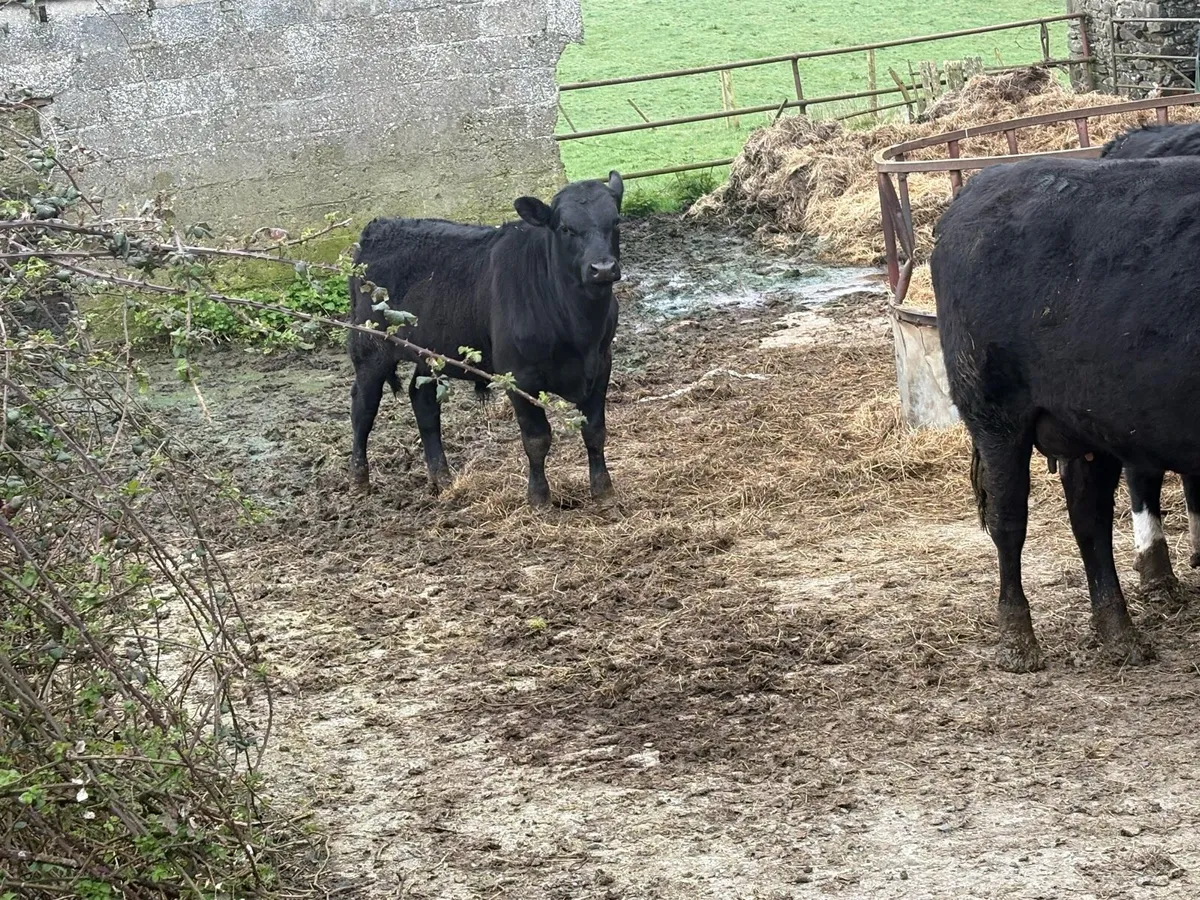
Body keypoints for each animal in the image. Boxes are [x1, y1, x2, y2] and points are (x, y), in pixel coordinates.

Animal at [347, 172, 624, 508]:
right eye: (566, 228)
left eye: (616, 221)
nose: (603, 269)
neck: (578, 327)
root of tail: (379, 225)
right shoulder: (519, 375)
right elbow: (537, 439)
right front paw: (539, 498)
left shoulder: (601, 364)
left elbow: (594, 431)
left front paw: (603, 490)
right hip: (369, 347)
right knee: (363, 407)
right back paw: (359, 479)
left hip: (430, 349)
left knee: (423, 401)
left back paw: (442, 478)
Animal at [930, 154, 1200, 672]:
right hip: (995, 413)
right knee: (1009, 520)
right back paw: (1017, 640)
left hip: (1090, 423)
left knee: (1090, 519)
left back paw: (1119, 633)